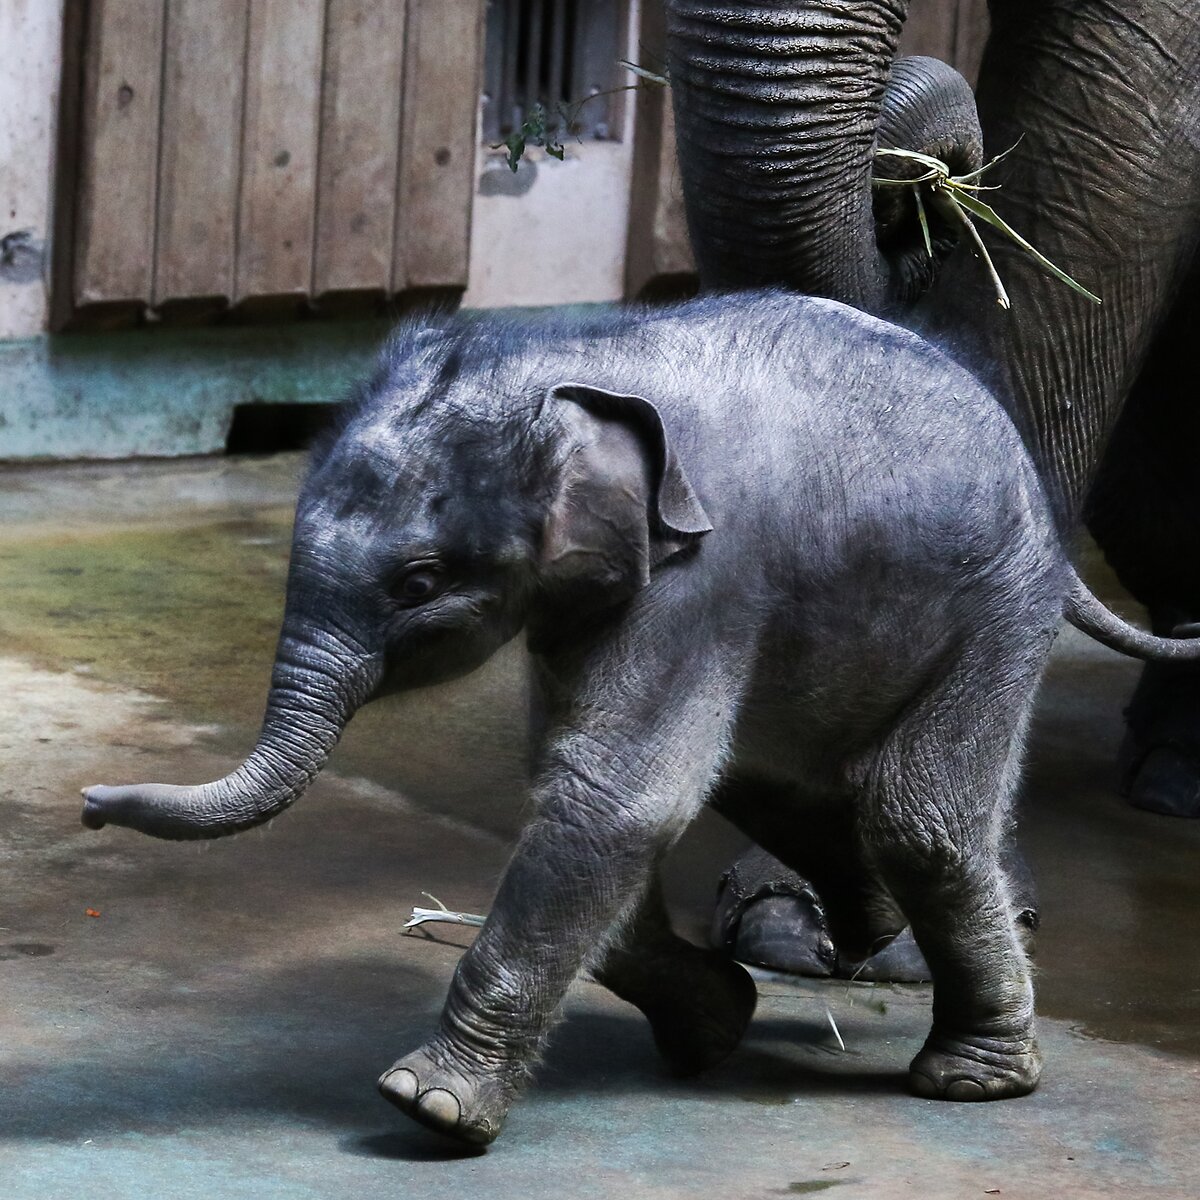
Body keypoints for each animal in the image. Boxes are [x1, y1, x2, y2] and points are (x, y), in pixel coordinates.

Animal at [82, 288, 1200, 1142]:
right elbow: (584, 791)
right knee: (778, 780)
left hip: (999, 612)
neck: (577, 355)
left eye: (419, 582)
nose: (89, 804)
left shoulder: (704, 576)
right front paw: (713, 1027)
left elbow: (615, 799)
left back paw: (970, 1079)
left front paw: (426, 1107)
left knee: (914, 814)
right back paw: (861, 936)